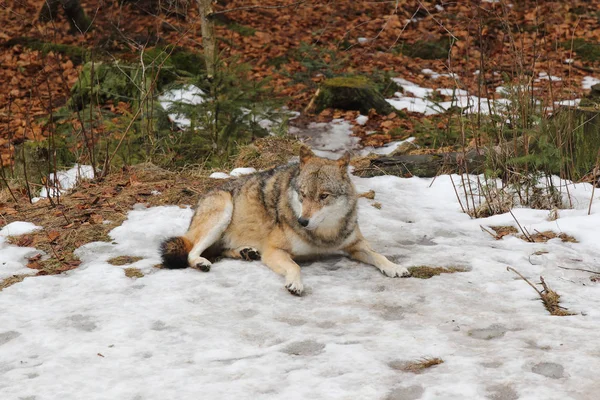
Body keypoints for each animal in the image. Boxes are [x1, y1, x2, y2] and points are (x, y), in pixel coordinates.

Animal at [161, 147, 408, 294]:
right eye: (303, 195)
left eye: (323, 196)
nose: (302, 221)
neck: (323, 235)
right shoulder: (274, 251)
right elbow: (295, 266)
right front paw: (296, 283)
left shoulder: (355, 245)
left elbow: (379, 255)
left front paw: (395, 268)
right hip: (222, 211)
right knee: (192, 252)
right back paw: (202, 262)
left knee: (221, 251)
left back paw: (246, 252)